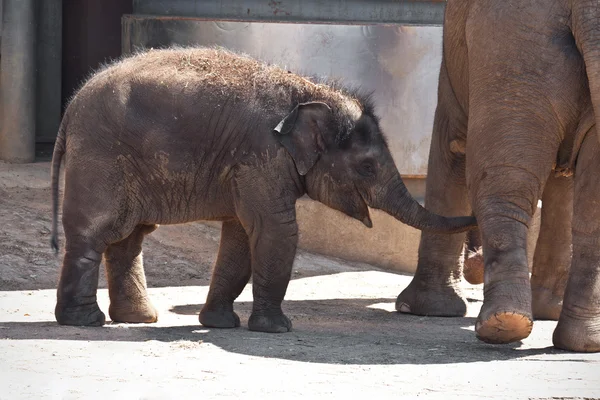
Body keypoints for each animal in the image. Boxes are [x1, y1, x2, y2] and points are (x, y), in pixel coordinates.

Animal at [49, 47, 476, 332]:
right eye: (367, 166)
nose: (475, 237)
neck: (308, 93)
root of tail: (70, 106)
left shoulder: (248, 168)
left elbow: (241, 237)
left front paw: (220, 324)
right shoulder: (261, 158)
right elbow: (276, 231)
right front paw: (277, 329)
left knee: (130, 237)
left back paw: (138, 319)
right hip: (100, 157)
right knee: (96, 231)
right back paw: (85, 321)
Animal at [398, 0, 600, 352]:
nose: (474, 262)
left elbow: (452, 145)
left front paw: (424, 309)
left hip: (513, 41)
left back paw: (509, 325)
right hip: (520, 44)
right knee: (512, 181)